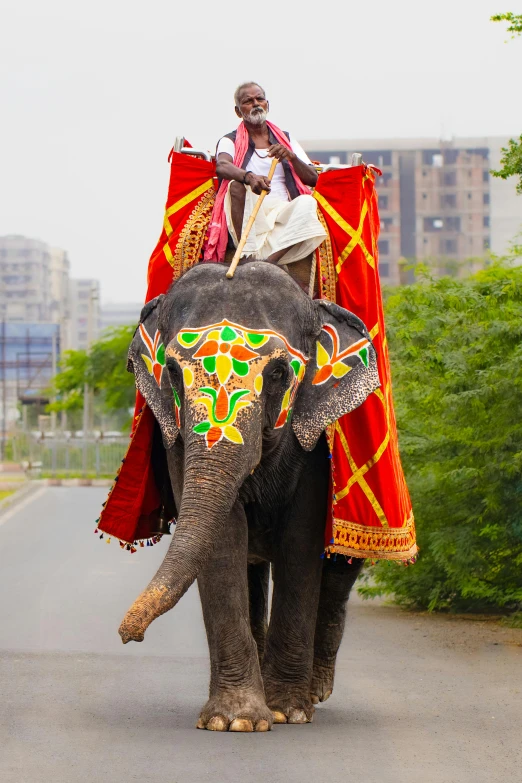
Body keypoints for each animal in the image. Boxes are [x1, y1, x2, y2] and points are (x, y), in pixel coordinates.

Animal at [118, 260, 378, 732]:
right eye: (172, 373)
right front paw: (236, 720)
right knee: (253, 568)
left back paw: (316, 691)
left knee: (341, 566)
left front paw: (287, 712)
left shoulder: (315, 439)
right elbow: (223, 543)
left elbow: (301, 541)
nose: (129, 635)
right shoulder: (176, 439)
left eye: (277, 374)